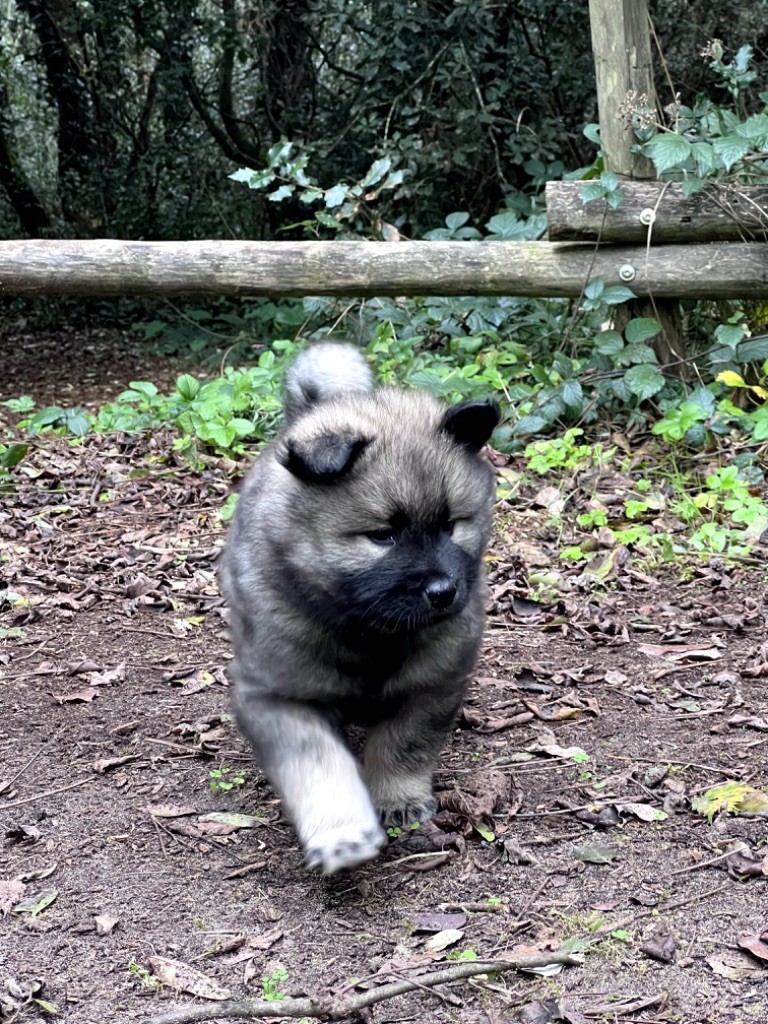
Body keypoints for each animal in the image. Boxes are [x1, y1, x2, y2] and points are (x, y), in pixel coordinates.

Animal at [219, 344, 501, 872]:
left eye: (451, 525)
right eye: (382, 535)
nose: (444, 591)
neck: (368, 630)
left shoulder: (432, 681)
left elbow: (404, 744)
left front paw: (398, 799)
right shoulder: (277, 695)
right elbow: (317, 761)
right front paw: (342, 832)